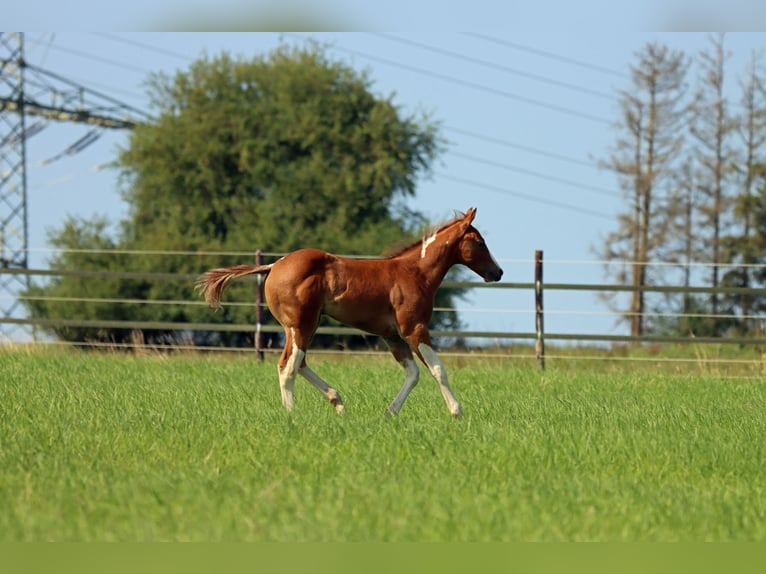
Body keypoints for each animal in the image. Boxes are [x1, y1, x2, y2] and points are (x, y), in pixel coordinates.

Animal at [196, 208, 504, 418]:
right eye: (479, 242)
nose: (497, 272)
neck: (414, 273)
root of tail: (273, 265)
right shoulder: (414, 328)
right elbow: (438, 369)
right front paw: (457, 412)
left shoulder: (392, 336)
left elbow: (413, 373)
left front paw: (390, 412)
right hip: (301, 325)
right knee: (288, 366)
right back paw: (293, 414)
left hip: (304, 326)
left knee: (299, 362)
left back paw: (337, 401)